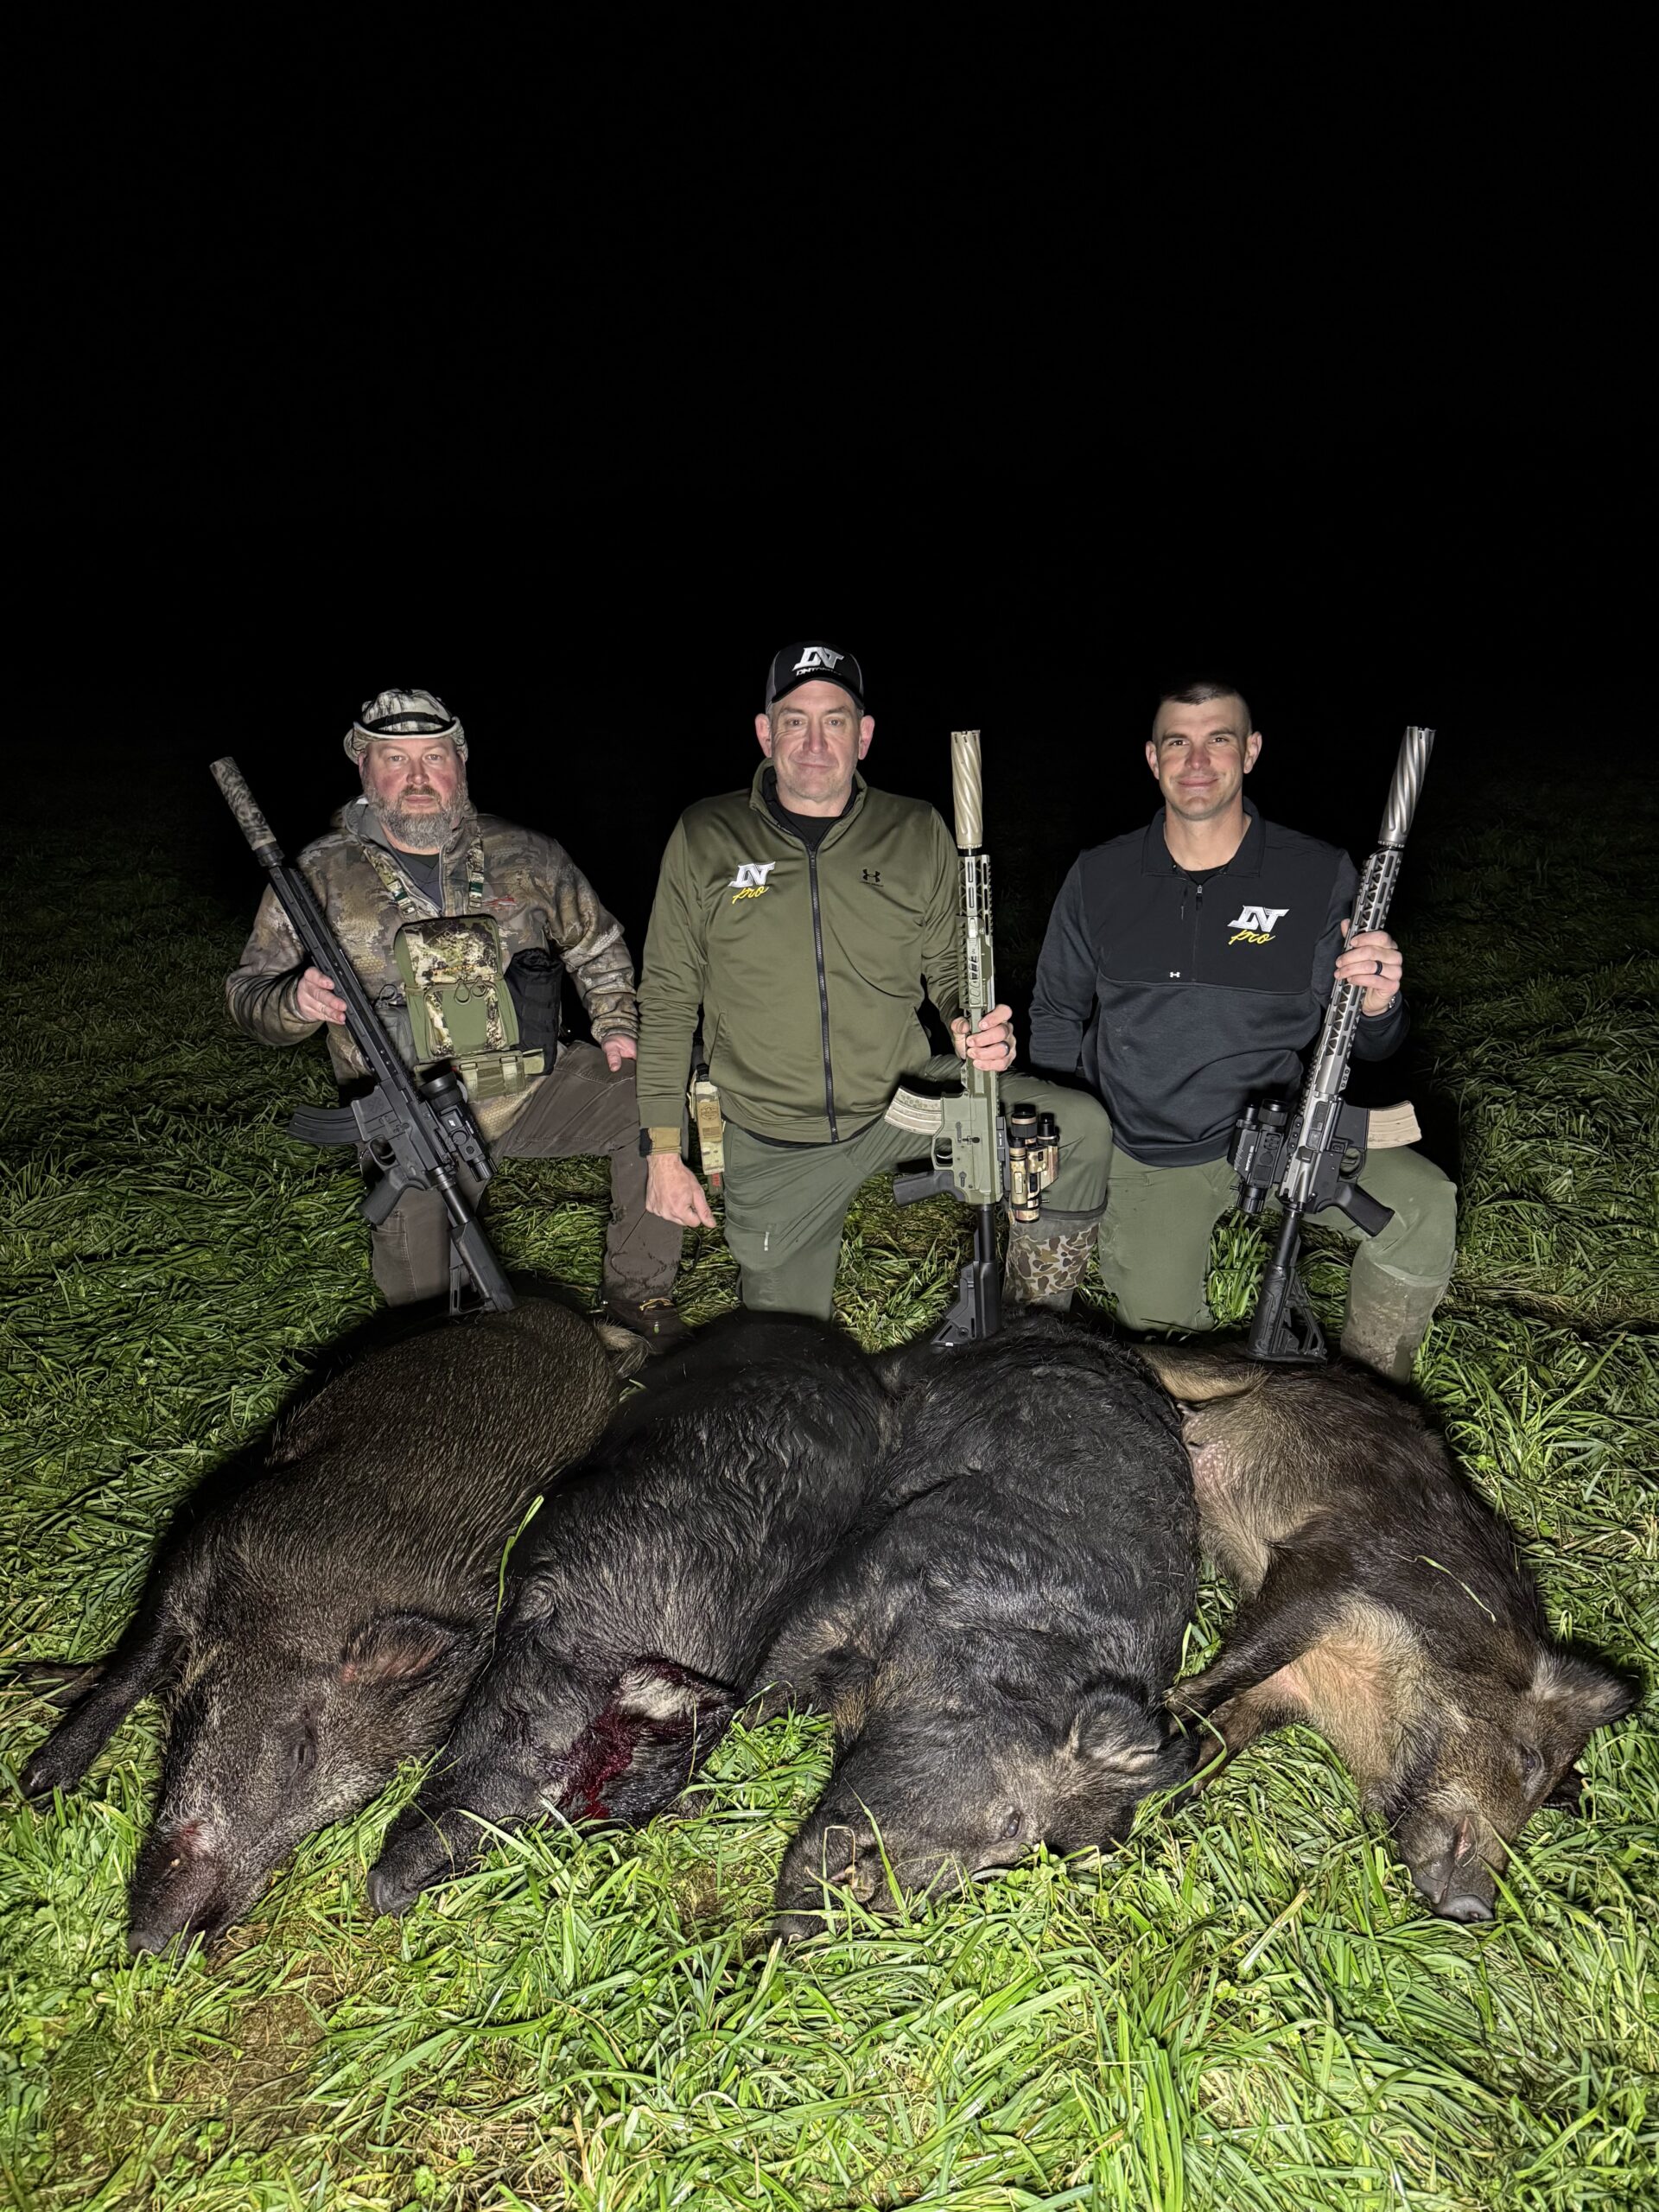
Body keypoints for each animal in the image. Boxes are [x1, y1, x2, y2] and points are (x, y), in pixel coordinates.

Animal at [16, 1299, 631, 1952]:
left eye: (342, 1811)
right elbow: (137, 1664)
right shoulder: (211, 1542)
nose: (160, 1947)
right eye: (301, 1752)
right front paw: (39, 1783)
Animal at [1135, 1342, 1637, 1922]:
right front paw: (1164, 1726)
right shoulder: (1330, 1572)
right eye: (1529, 1758)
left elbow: (1225, 1739)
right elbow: (1244, 1662)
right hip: (1217, 1372)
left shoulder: (1285, 1690)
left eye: (1540, 1806)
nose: (1477, 1908)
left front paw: (1163, 1807)